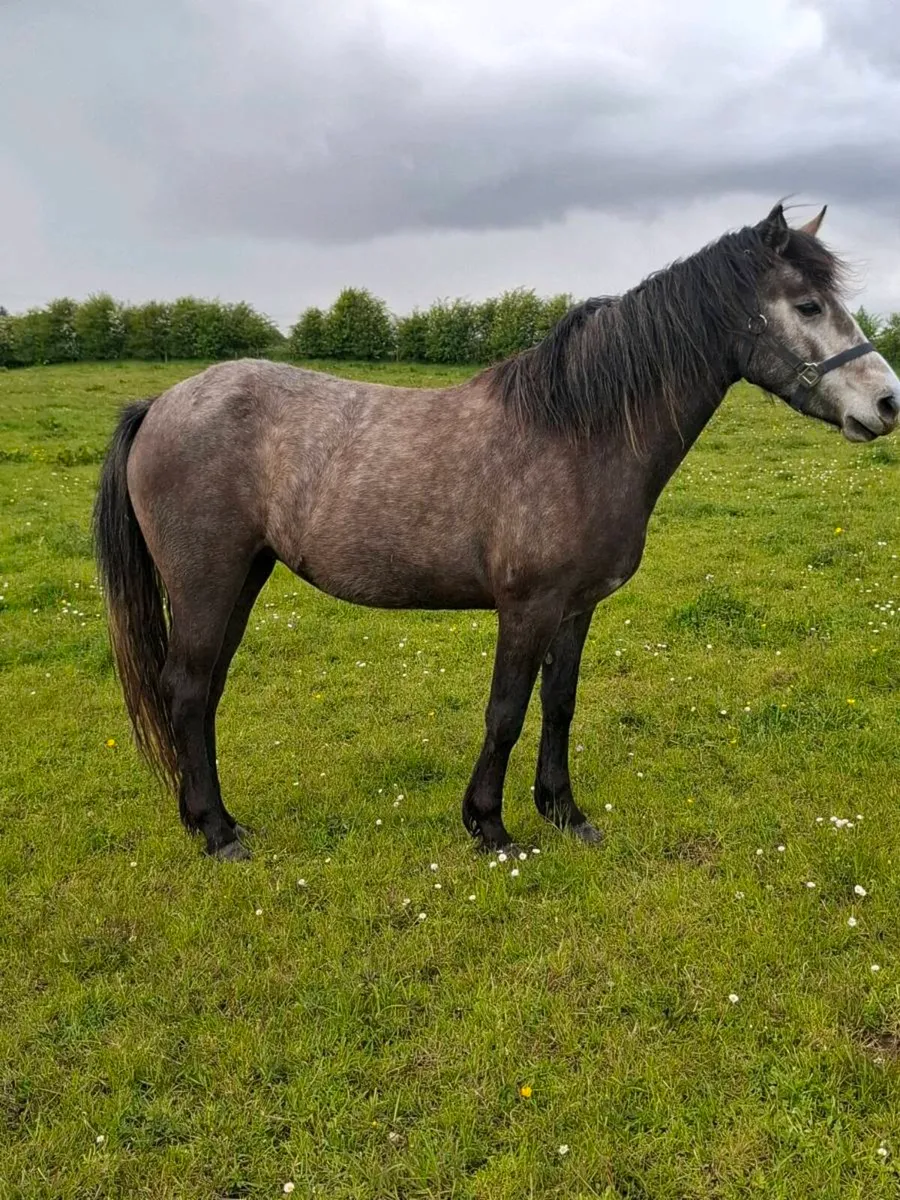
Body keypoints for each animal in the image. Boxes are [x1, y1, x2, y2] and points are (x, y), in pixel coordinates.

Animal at [94, 203, 900, 861]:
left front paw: (565, 813)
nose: (888, 402)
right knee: (188, 688)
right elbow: (506, 712)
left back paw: (209, 820)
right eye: (808, 304)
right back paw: (218, 833)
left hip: (241, 578)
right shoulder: (528, 607)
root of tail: (160, 404)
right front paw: (490, 826)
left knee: (201, 691)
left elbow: (559, 704)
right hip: (207, 581)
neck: (578, 434)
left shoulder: (576, 608)